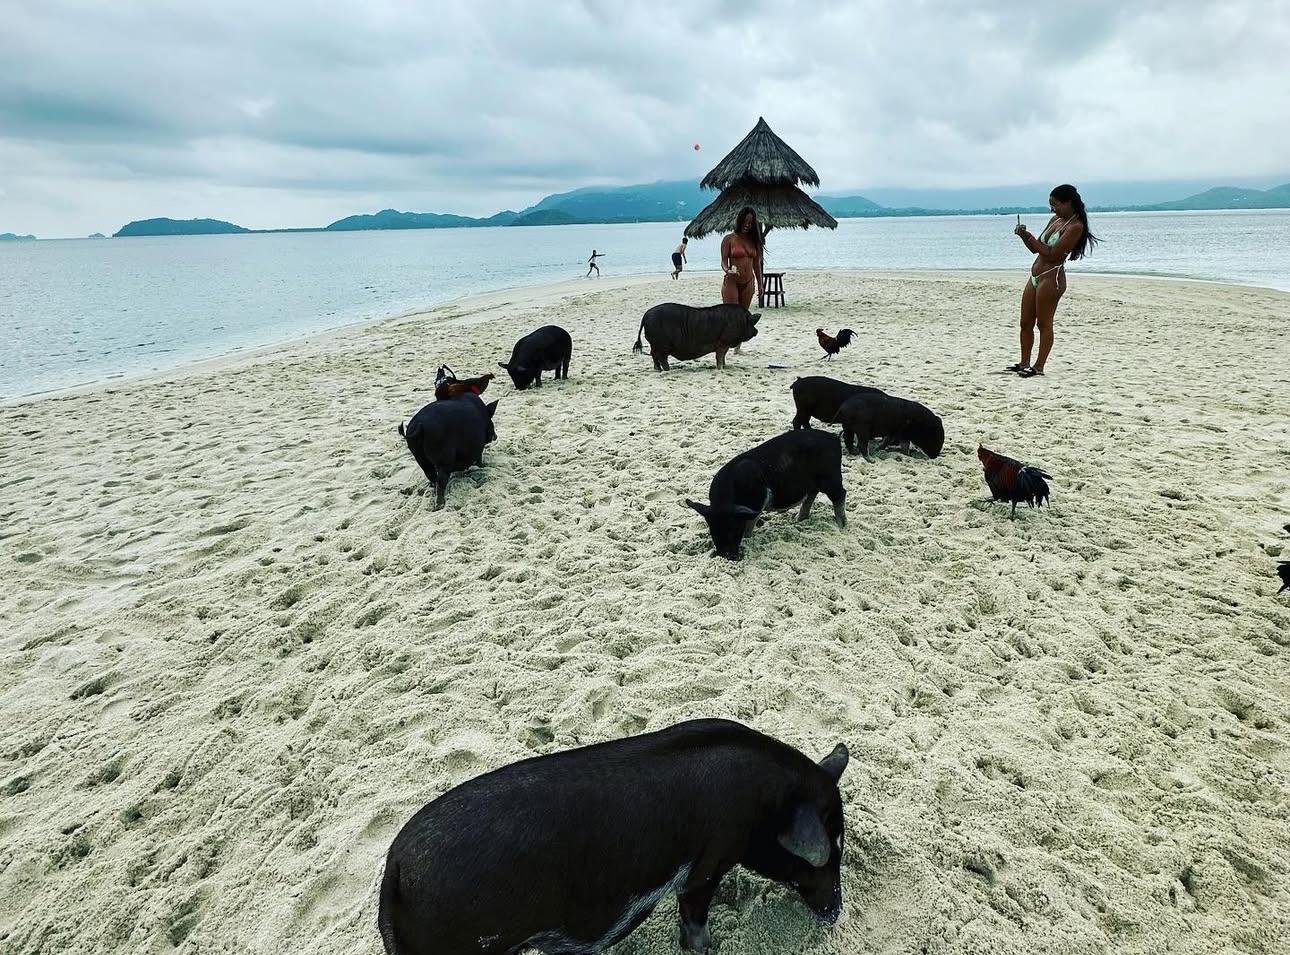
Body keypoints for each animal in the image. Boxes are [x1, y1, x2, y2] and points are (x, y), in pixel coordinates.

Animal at [378, 718, 850, 955]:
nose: (836, 913)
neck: (768, 804)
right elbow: (694, 913)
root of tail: (394, 870)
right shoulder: (707, 861)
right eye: (828, 852)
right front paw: (704, 949)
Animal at [686, 429, 846, 560]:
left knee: (841, 494)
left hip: (831, 478)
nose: (727, 556)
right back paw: (797, 520)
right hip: (815, 482)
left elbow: (750, 524)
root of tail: (834, 438)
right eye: (712, 529)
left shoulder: (758, 503)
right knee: (812, 494)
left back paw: (842, 527)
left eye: (735, 528)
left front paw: (748, 537)